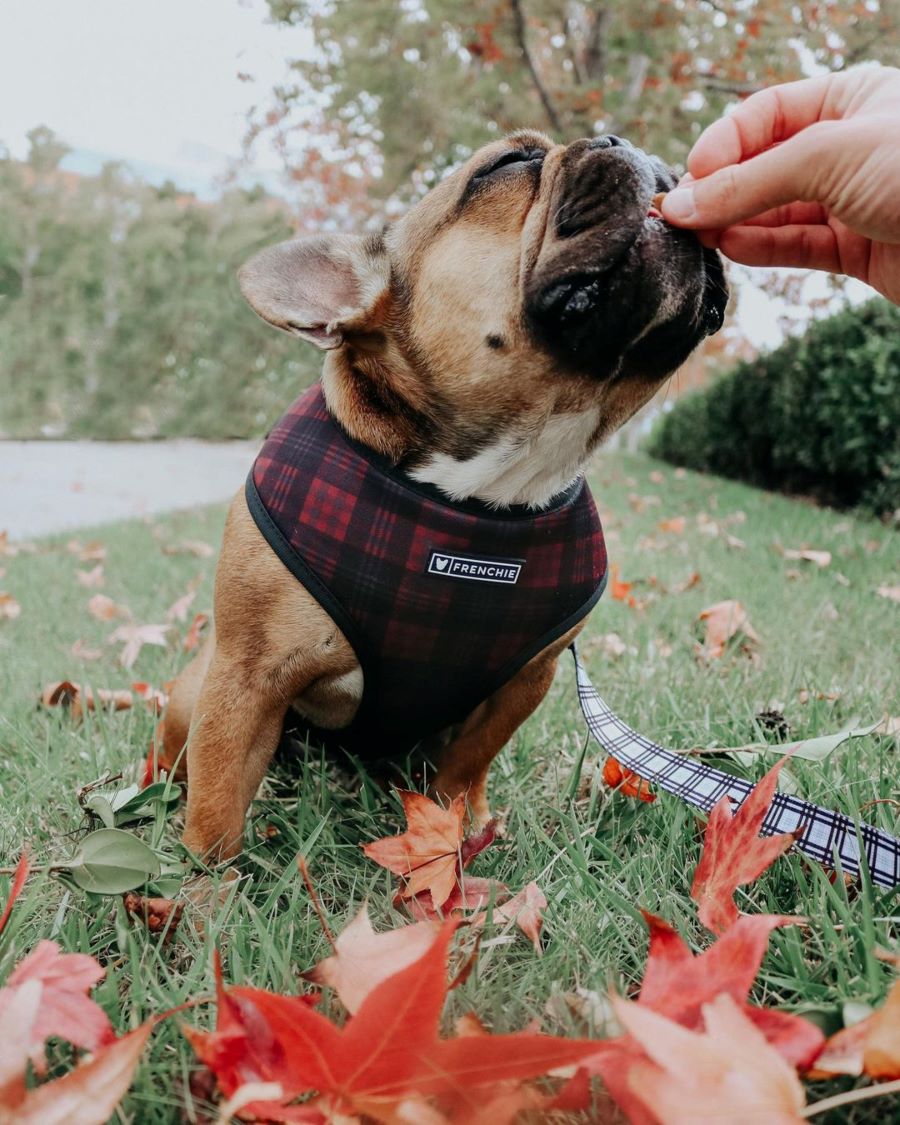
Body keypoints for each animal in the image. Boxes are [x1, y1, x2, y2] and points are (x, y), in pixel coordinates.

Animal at [158, 127, 729, 855]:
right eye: (509, 164)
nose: (622, 137)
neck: (484, 486)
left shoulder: (526, 678)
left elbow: (469, 763)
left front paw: (462, 825)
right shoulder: (246, 677)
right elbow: (219, 801)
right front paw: (202, 883)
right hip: (193, 690)